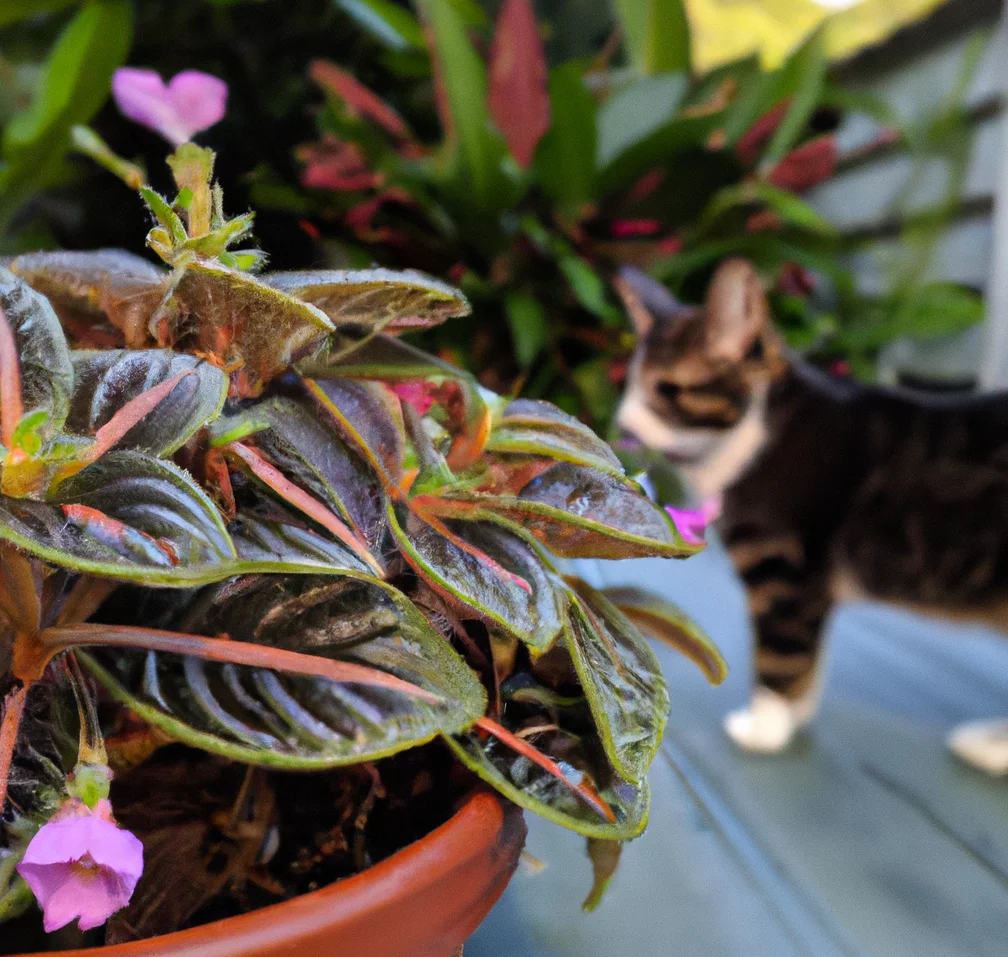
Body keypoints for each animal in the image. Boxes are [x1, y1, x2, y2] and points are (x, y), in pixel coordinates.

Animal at [612, 258, 1008, 774]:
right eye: (629, 386)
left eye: (667, 388)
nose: (623, 425)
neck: (757, 433)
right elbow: (808, 658)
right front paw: (794, 713)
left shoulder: (784, 569)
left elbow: (783, 653)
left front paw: (766, 726)